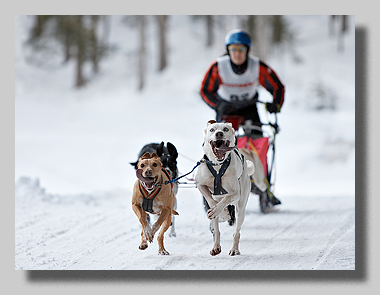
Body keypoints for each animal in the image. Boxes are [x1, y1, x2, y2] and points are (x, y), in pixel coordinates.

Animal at [194, 120, 254, 256]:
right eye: (212, 129)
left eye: (225, 129)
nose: (219, 133)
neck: (217, 165)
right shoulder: (200, 185)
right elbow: (211, 201)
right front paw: (219, 212)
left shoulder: (235, 193)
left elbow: (225, 200)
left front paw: (220, 211)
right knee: (216, 230)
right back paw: (216, 246)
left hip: (241, 208)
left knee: (236, 232)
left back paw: (234, 249)